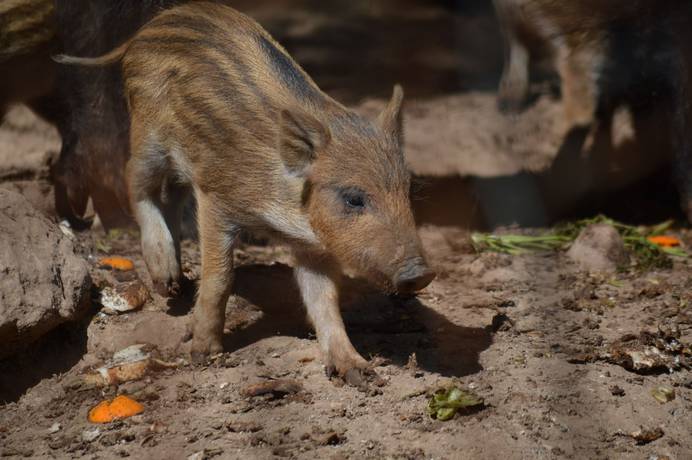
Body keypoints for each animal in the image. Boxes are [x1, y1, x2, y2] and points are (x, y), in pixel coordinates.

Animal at [60, 1, 438, 386]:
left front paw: (359, 372)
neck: (288, 208)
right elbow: (221, 277)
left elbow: (325, 300)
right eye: (354, 198)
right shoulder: (216, 199)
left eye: (407, 192)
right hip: (147, 134)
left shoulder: (312, 247)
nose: (421, 273)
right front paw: (204, 353)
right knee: (134, 181)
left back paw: (177, 284)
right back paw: (165, 278)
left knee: (174, 195)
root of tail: (154, 24)